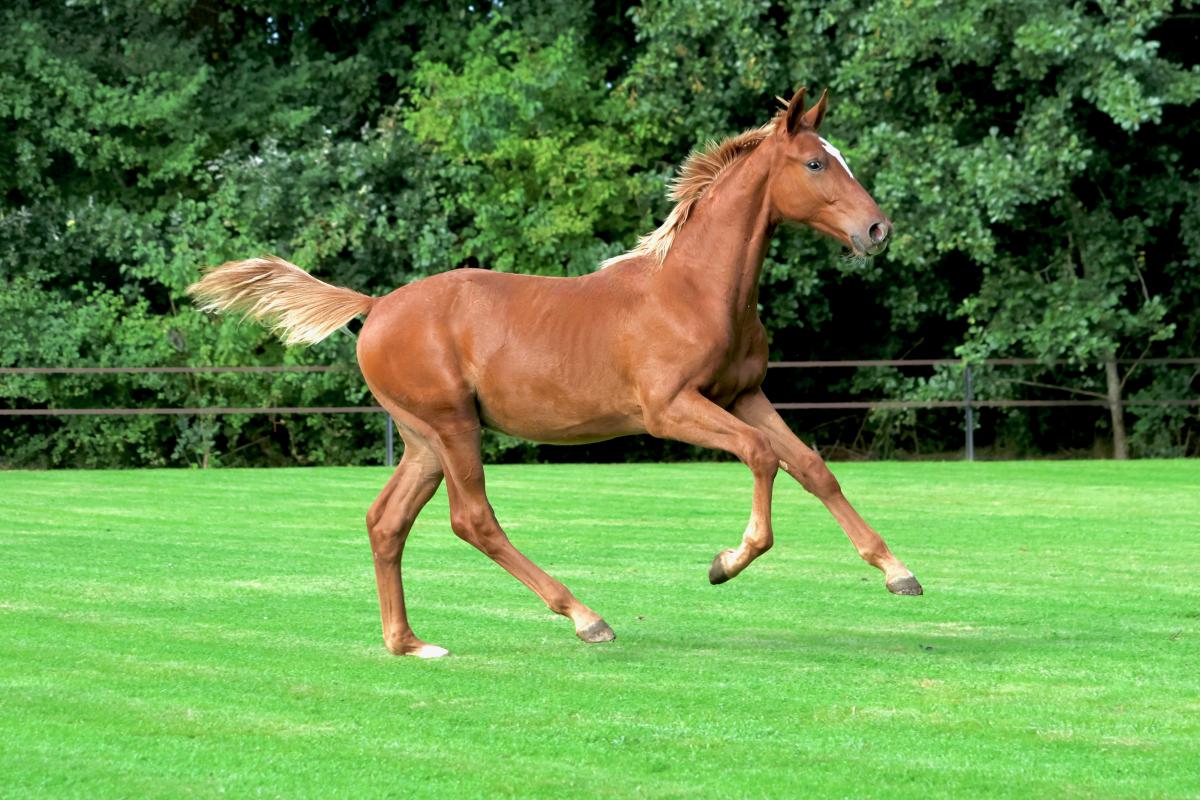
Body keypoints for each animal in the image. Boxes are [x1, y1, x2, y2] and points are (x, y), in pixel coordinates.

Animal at [189, 87, 922, 659]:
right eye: (816, 162)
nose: (878, 230)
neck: (692, 289)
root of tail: (374, 306)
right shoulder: (671, 409)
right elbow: (761, 457)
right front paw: (725, 563)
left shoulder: (743, 394)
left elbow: (812, 466)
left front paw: (898, 572)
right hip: (452, 427)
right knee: (473, 519)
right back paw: (585, 618)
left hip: (424, 438)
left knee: (386, 522)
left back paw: (409, 642)